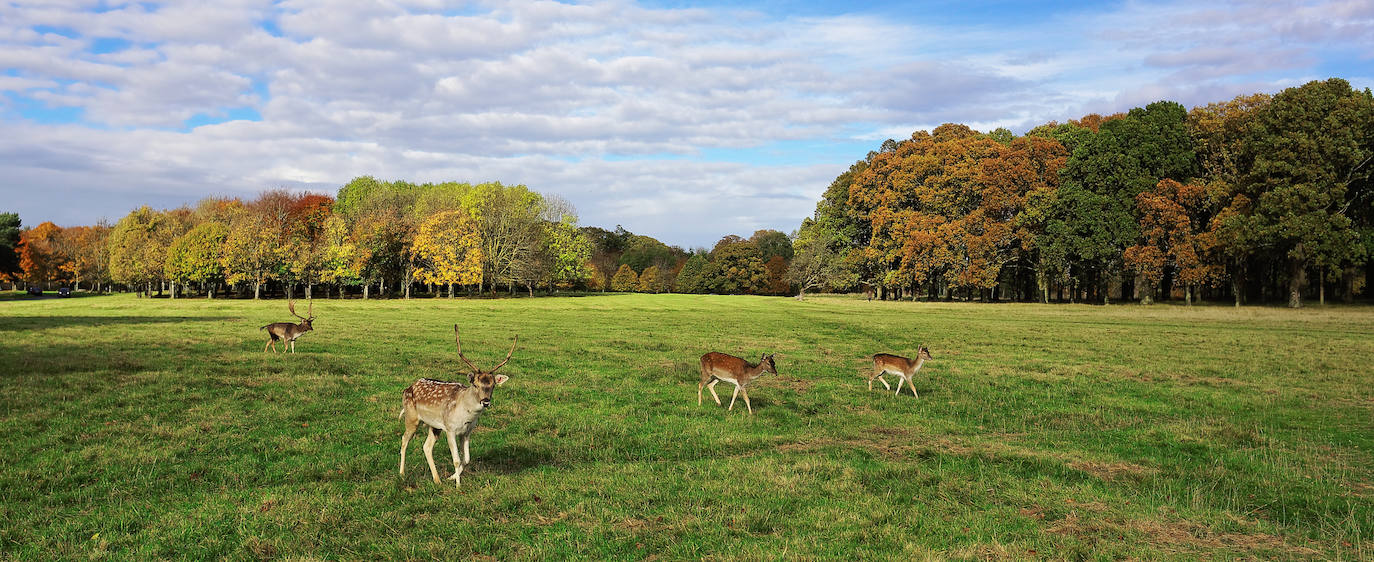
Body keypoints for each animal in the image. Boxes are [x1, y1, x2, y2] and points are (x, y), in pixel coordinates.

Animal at [401, 324, 519, 486]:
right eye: (475, 384)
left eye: (493, 385)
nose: (486, 401)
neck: (467, 416)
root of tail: (408, 388)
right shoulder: (450, 429)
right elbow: (456, 460)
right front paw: (458, 485)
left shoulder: (467, 431)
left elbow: (467, 459)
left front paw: (451, 477)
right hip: (411, 417)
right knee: (404, 440)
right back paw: (401, 473)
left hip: (435, 426)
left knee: (426, 447)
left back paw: (437, 480)